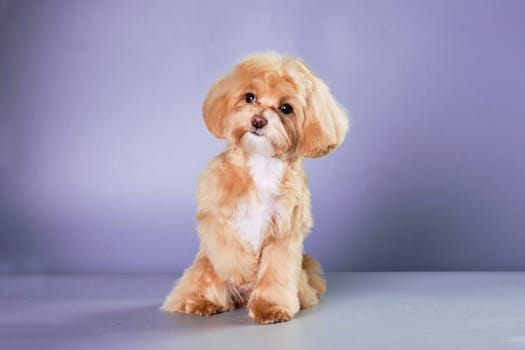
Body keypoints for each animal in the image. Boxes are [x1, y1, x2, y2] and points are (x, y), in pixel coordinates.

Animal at [160, 52, 348, 322]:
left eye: (286, 108)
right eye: (250, 97)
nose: (258, 120)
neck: (262, 164)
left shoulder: (283, 234)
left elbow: (276, 273)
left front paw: (271, 307)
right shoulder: (215, 215)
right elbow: (227, 245)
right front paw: (245, 272)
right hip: (205, 270)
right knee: (198, 288)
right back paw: (200, 303)